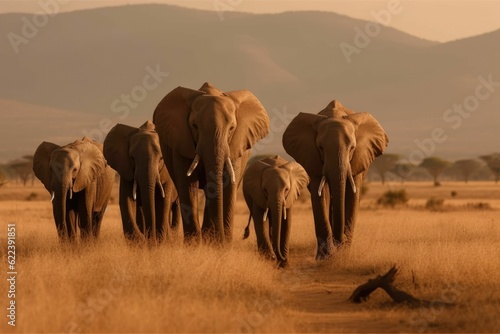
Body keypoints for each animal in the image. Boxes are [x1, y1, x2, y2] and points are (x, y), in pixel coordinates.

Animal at [152, 82, 270, 244]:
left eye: (231, 128)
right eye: (194, 126)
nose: (220, 239)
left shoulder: (236, 146)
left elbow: (227, 184)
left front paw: (219, 244)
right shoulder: (181, 143)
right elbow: (188, 185)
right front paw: (195, 245)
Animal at [284, 100, 388, 260]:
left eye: (352, 148)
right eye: (320, 147)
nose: (341, 240)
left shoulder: (358, 159)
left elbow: (352, 196)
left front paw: (343, 254)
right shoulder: (313, 157)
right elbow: (322, 195)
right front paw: (325, 258)